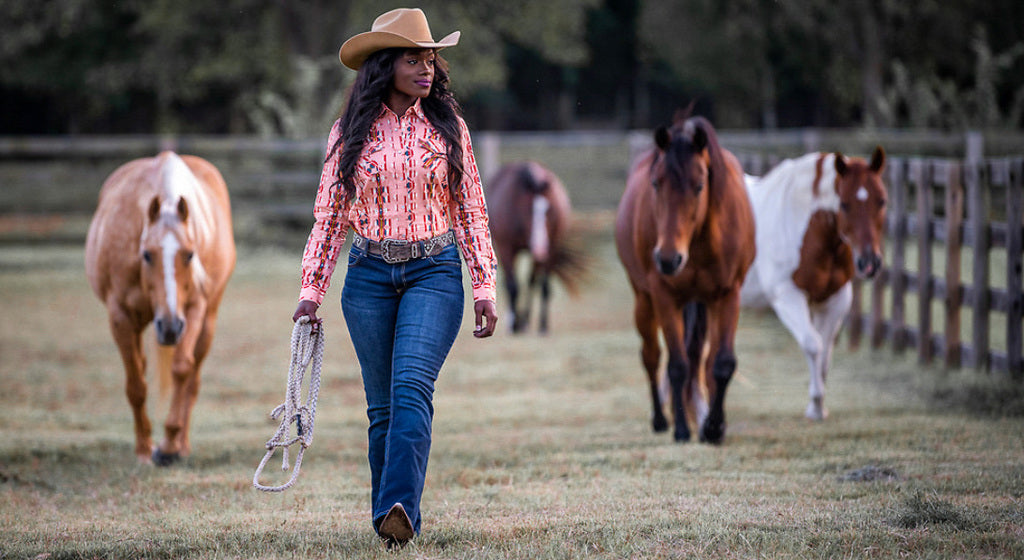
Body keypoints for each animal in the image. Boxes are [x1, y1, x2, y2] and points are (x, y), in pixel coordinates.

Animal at [84, 151, 235, 466]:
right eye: (146, 254)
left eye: (189, 254)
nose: (169, 326)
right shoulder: (120, 316)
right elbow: (136, 384)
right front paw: (145, 449)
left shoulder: (194, 309)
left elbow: (181, 369)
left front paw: (168, 446)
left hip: (208, 321)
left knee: (193, 380)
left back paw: (183, 445)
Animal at [487, 160, 585, 333]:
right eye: (527, 209)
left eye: (549, 210)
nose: (540, 248)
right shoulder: (506, 248)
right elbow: (513, 286)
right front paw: (514, 324)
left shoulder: (551, 249)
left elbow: (544, 286)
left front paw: (543, 325)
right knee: (510, 282)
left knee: (531, 282)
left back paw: (526, 320)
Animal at [610, 114, 757, 444]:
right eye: (656, 183)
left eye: (699, 185)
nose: (667, 259)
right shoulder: (665, 296)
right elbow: (676, 365)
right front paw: (680, 428)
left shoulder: (728, 294)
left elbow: (721, 363)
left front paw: (714, 428)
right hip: (644, 300)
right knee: (652, 356)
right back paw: (660, 420)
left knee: (701, 358)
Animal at [737, 149, 888, 421]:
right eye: (844, 204)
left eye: (881, 201)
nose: (869, 262)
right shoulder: (787, 296)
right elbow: (813, 345)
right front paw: (816, 404)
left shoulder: (835, 299)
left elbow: (826, 353)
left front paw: (818, 405)